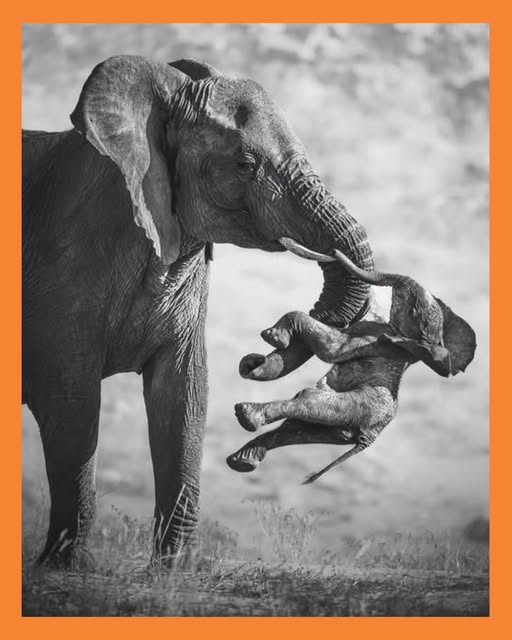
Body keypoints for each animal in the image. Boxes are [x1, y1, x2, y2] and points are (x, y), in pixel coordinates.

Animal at [22, 56, 375, 568]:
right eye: (245, 165)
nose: (259, 352)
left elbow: (184, 395)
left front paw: (174, 571)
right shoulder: (62, 268)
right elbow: (72, 403)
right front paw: (67, 570)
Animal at [227, 243, 476, 484]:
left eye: (412, 308)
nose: (334, 251)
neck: (428, 343)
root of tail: (368, 438)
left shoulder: (373, 338)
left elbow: (330, 349)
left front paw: (272, 337)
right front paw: (251, 363)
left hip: (357, 407)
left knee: (308, 401)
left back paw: (247, 416)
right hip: (341, 427)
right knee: (295, 429)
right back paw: (241, 460)